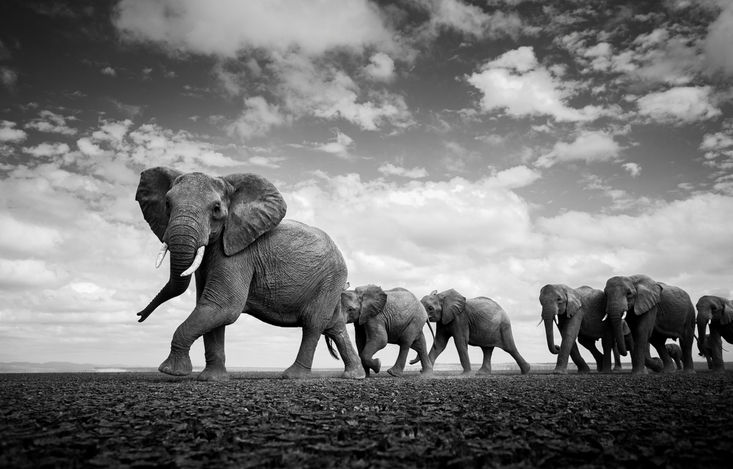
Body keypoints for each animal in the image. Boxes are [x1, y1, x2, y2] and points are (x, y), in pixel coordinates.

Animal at [134, 167, 364, 381]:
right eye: (167, 204)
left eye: (216, 208)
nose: (139, 315)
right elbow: (210, 308)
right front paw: (212, 379)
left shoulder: (239, 254)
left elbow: (224, 305)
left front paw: (171, 371)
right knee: (334, 325)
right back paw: (355, 375)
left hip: (331, 279)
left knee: (313, 322)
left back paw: (294, 376)